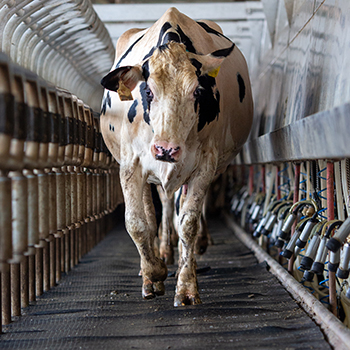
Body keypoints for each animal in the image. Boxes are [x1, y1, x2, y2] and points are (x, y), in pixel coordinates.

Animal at [100, 6, 253, 306]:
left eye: (198, 91)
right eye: (148, 90)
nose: (166, 149)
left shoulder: (204, 164)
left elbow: (188, 222)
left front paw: (186, 286)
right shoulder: (130, 165)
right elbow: (136, 224)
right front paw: (154, 273)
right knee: (154, 211)